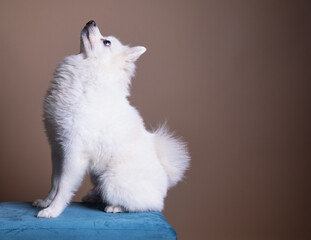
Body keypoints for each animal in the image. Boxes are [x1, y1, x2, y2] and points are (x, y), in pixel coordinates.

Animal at [33, 20, 190, 218]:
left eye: (106, 42)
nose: (91, 21)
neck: (90, 73)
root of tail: (166, 176)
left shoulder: (74, 152)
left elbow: (63, 186)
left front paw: (53, 210)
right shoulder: (56, 148)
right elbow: (54, 182)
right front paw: (46, 201)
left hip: (111, 180)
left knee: (149, 205)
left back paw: (115, 207)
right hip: (97, 175)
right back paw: (93, 196)